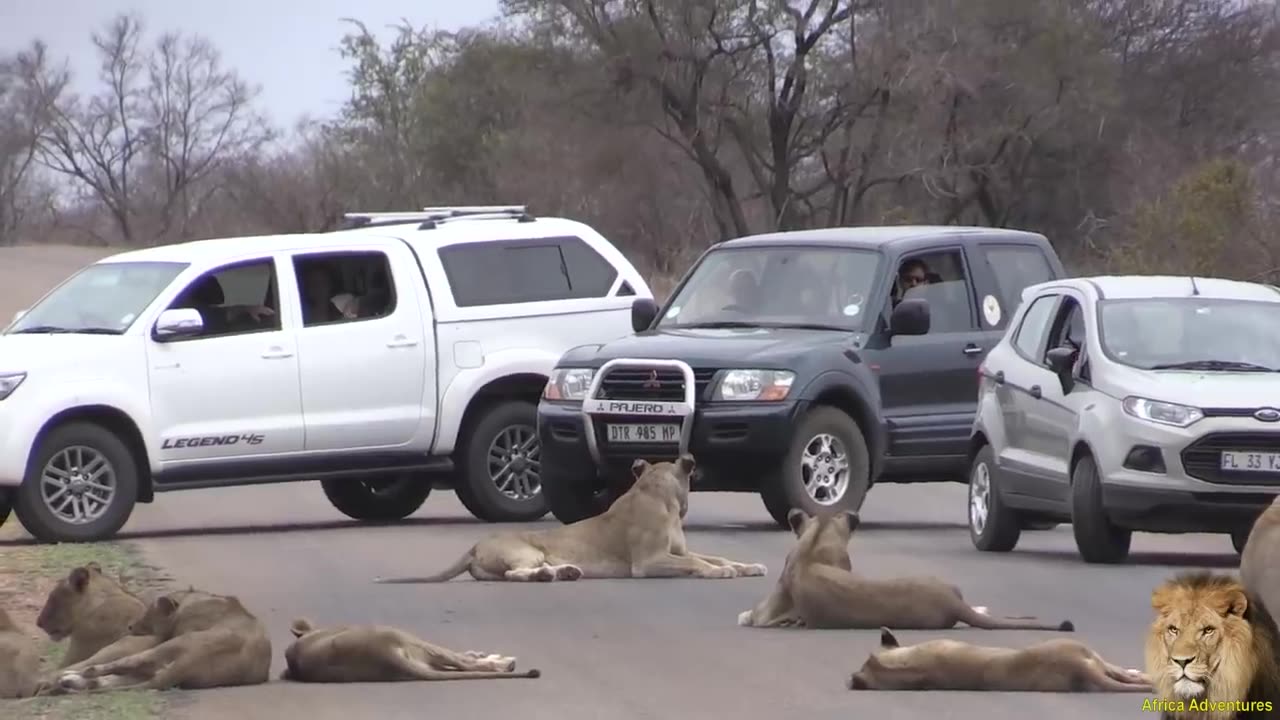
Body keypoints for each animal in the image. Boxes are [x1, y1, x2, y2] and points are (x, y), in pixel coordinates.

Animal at [55, 586, 272, 691]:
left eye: (149, 612)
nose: (130, 626)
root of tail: (189, 663)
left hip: (169, 648)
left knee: (118, 666)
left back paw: (72, 675)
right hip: (163, 664)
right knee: (118, 679)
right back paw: (70, 681)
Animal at [373, 453, 762, 584]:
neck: (659, 494)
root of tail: (473, 546)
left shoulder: (679, 551)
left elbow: (713, 556)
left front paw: (746, 566)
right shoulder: (648, 562)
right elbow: (698, 564)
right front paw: (719, 572)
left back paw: (565, 572)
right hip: (527, 551)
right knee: (516, 574)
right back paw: (551, 575)